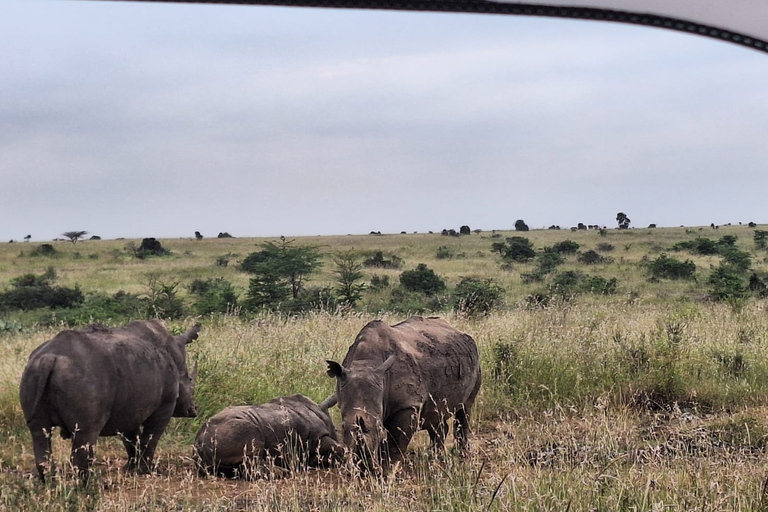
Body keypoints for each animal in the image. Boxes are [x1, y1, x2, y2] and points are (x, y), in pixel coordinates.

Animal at [20, 320, 201, 480]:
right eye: (190, 379)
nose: (193, 410)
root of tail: (49, 358)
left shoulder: (129, 407)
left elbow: (131, 439)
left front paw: (130, 469)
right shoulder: (166, 404)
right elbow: (151, 437)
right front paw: (148, 471)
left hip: (32, 371)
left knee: (39, 431)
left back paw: (50, 482)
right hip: (82, 377)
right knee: (86, 433)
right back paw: (90, 485)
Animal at [195, 394, 342, 478]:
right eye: (336, 429)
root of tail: (198, 442)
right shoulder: (317, 437)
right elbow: (340, 449)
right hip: (231, 429)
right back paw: (281, 472)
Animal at [326, 318, 480, 470]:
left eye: (379, 427)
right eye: (342, 428)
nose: (361, 463)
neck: (364, 363)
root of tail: (454, 328)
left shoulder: (407, 404)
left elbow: (395, 444)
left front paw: (387, 470)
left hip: (476, 363)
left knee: (465, 408)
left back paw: (461, 458)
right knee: (435, 415)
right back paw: (436, 461)